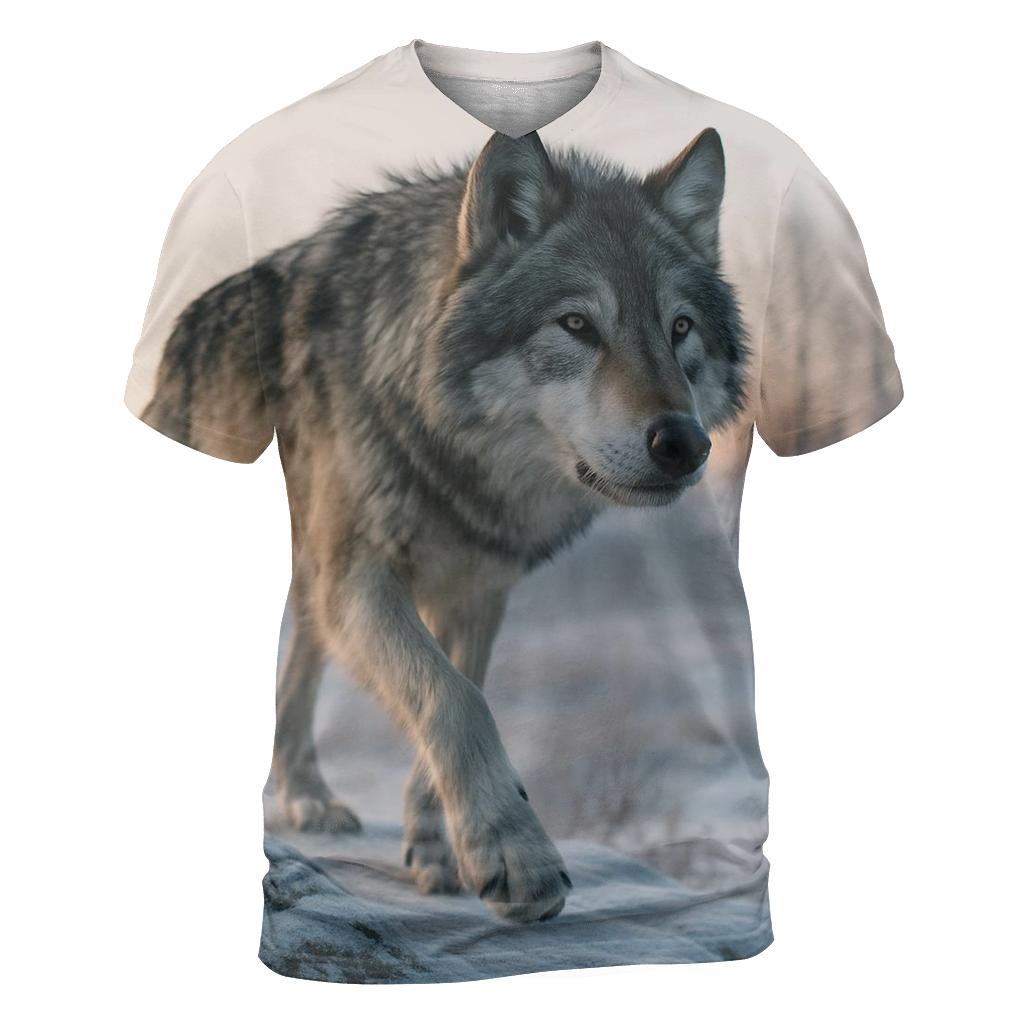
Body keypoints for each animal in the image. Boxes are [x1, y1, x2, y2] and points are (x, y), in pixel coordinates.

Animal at [144, 127, 748, 923]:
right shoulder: (360, 575)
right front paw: (516, 850)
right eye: (576, 324)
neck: (456, 460)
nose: (683, 443)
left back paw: (307, 794)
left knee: (302, 658)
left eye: (680, 328)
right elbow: (452, 698)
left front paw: (439, 844)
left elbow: (464, 688)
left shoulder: (477, 589)